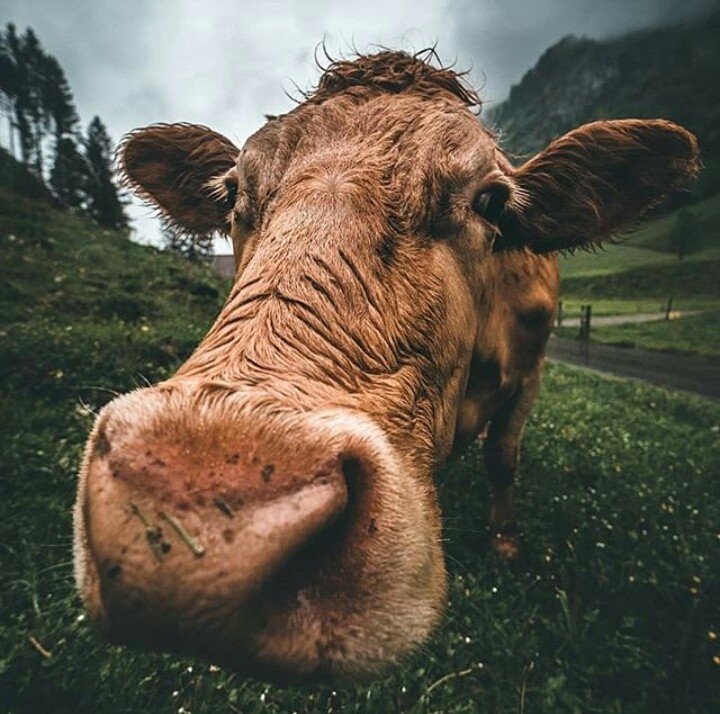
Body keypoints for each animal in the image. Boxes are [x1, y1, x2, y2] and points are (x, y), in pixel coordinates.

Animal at [73, 50, 699, 682]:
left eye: (492, 200)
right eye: (231, 193)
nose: (194, 496)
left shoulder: (532, 369)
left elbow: (502, 457)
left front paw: (505, 543)